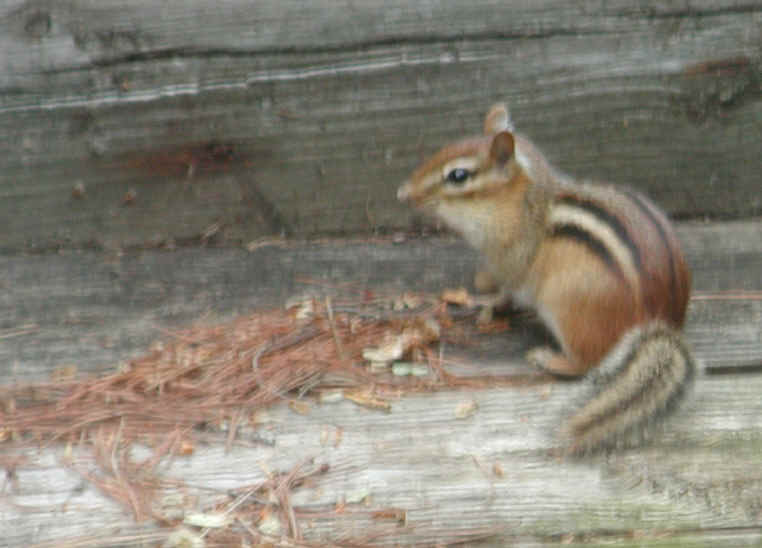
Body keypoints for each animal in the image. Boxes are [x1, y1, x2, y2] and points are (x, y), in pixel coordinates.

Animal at [397, 103, 695, 455]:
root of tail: (663, 324)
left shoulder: (512, 258)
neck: (520, 200)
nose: (403, 193)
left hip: (567, 309)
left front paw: (485, 300)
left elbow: (508, 289)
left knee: (588, 362)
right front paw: (483, 282)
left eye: (458, 175)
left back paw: (548, 359)